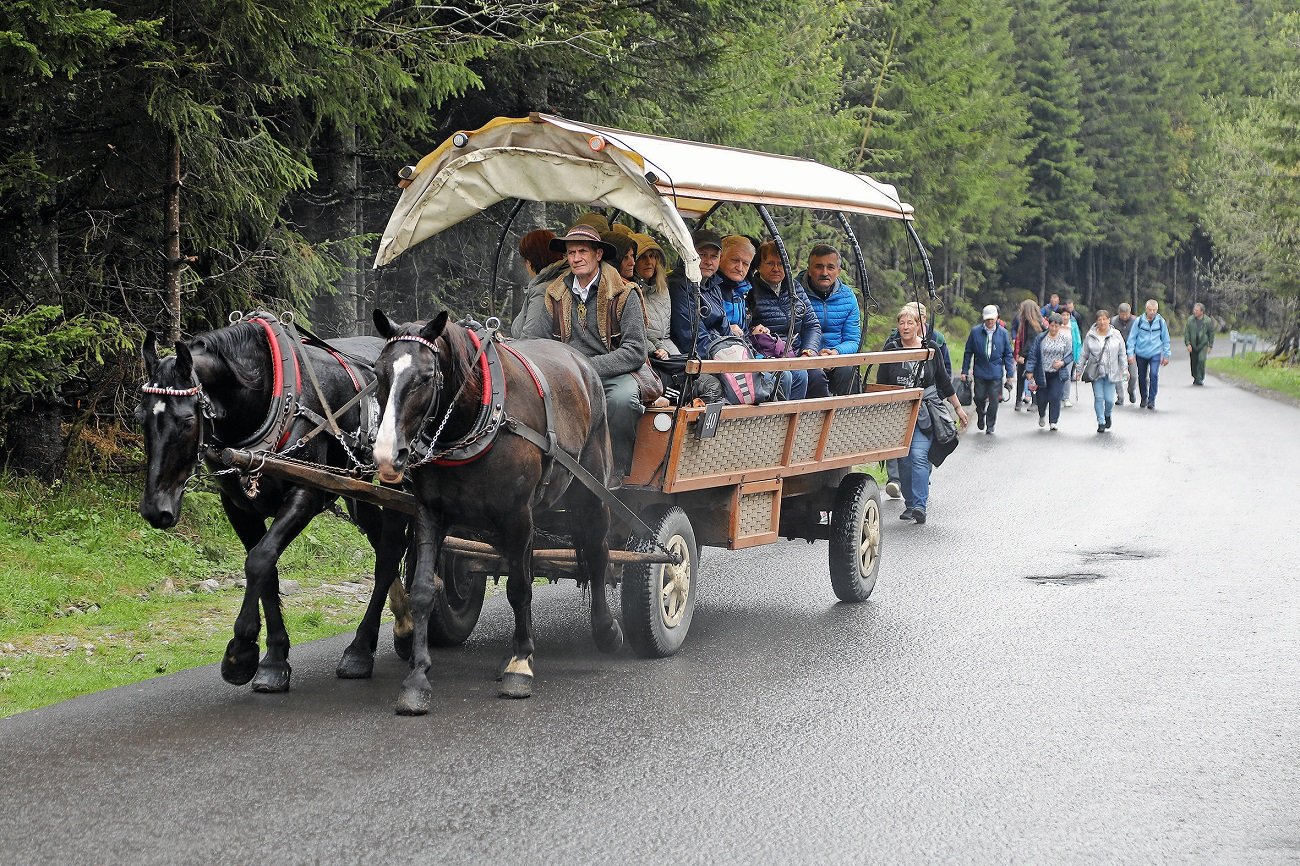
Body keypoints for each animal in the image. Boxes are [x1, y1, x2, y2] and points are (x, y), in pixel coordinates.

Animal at [137, 313, 413, 691]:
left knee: (389, 550)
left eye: (187, 420)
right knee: (382, 540)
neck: (267, 398)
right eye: (139, 416)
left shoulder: (306, 494)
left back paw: (360, 648)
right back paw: (402, 624)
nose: (156, 509)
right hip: (359, 486)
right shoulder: (238, 506)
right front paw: (273, 658)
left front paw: (240, 650)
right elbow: (266, 572)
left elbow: (259, 560)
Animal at [371, 310, 624, 707]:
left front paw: (520, 665)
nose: (386, 455)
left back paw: (606, 629)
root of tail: (581, 362)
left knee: (597, 554)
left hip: (592, 492)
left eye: (425, 377)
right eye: (378, 372)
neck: (474, 419)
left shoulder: (517, 515)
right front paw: (416, 677)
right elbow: (424, 589)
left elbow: (519, 588)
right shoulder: (430, 511)